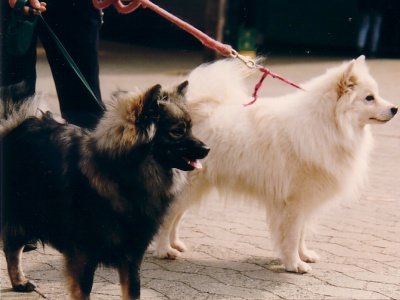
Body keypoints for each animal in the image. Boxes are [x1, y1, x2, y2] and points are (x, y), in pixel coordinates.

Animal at [153, 55, 396, 274]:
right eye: (369, 98)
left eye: (376, 95)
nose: (395, 109)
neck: (328, 124)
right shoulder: (294, 201)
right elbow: (292, 235)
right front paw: (294, 264)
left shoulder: (304, 201)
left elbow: (301, 234)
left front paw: (304, 255)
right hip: (188, 189)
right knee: (167, 219)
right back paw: (164, 250)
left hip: (194, 189)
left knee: (175, 218)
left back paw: (176, 244)